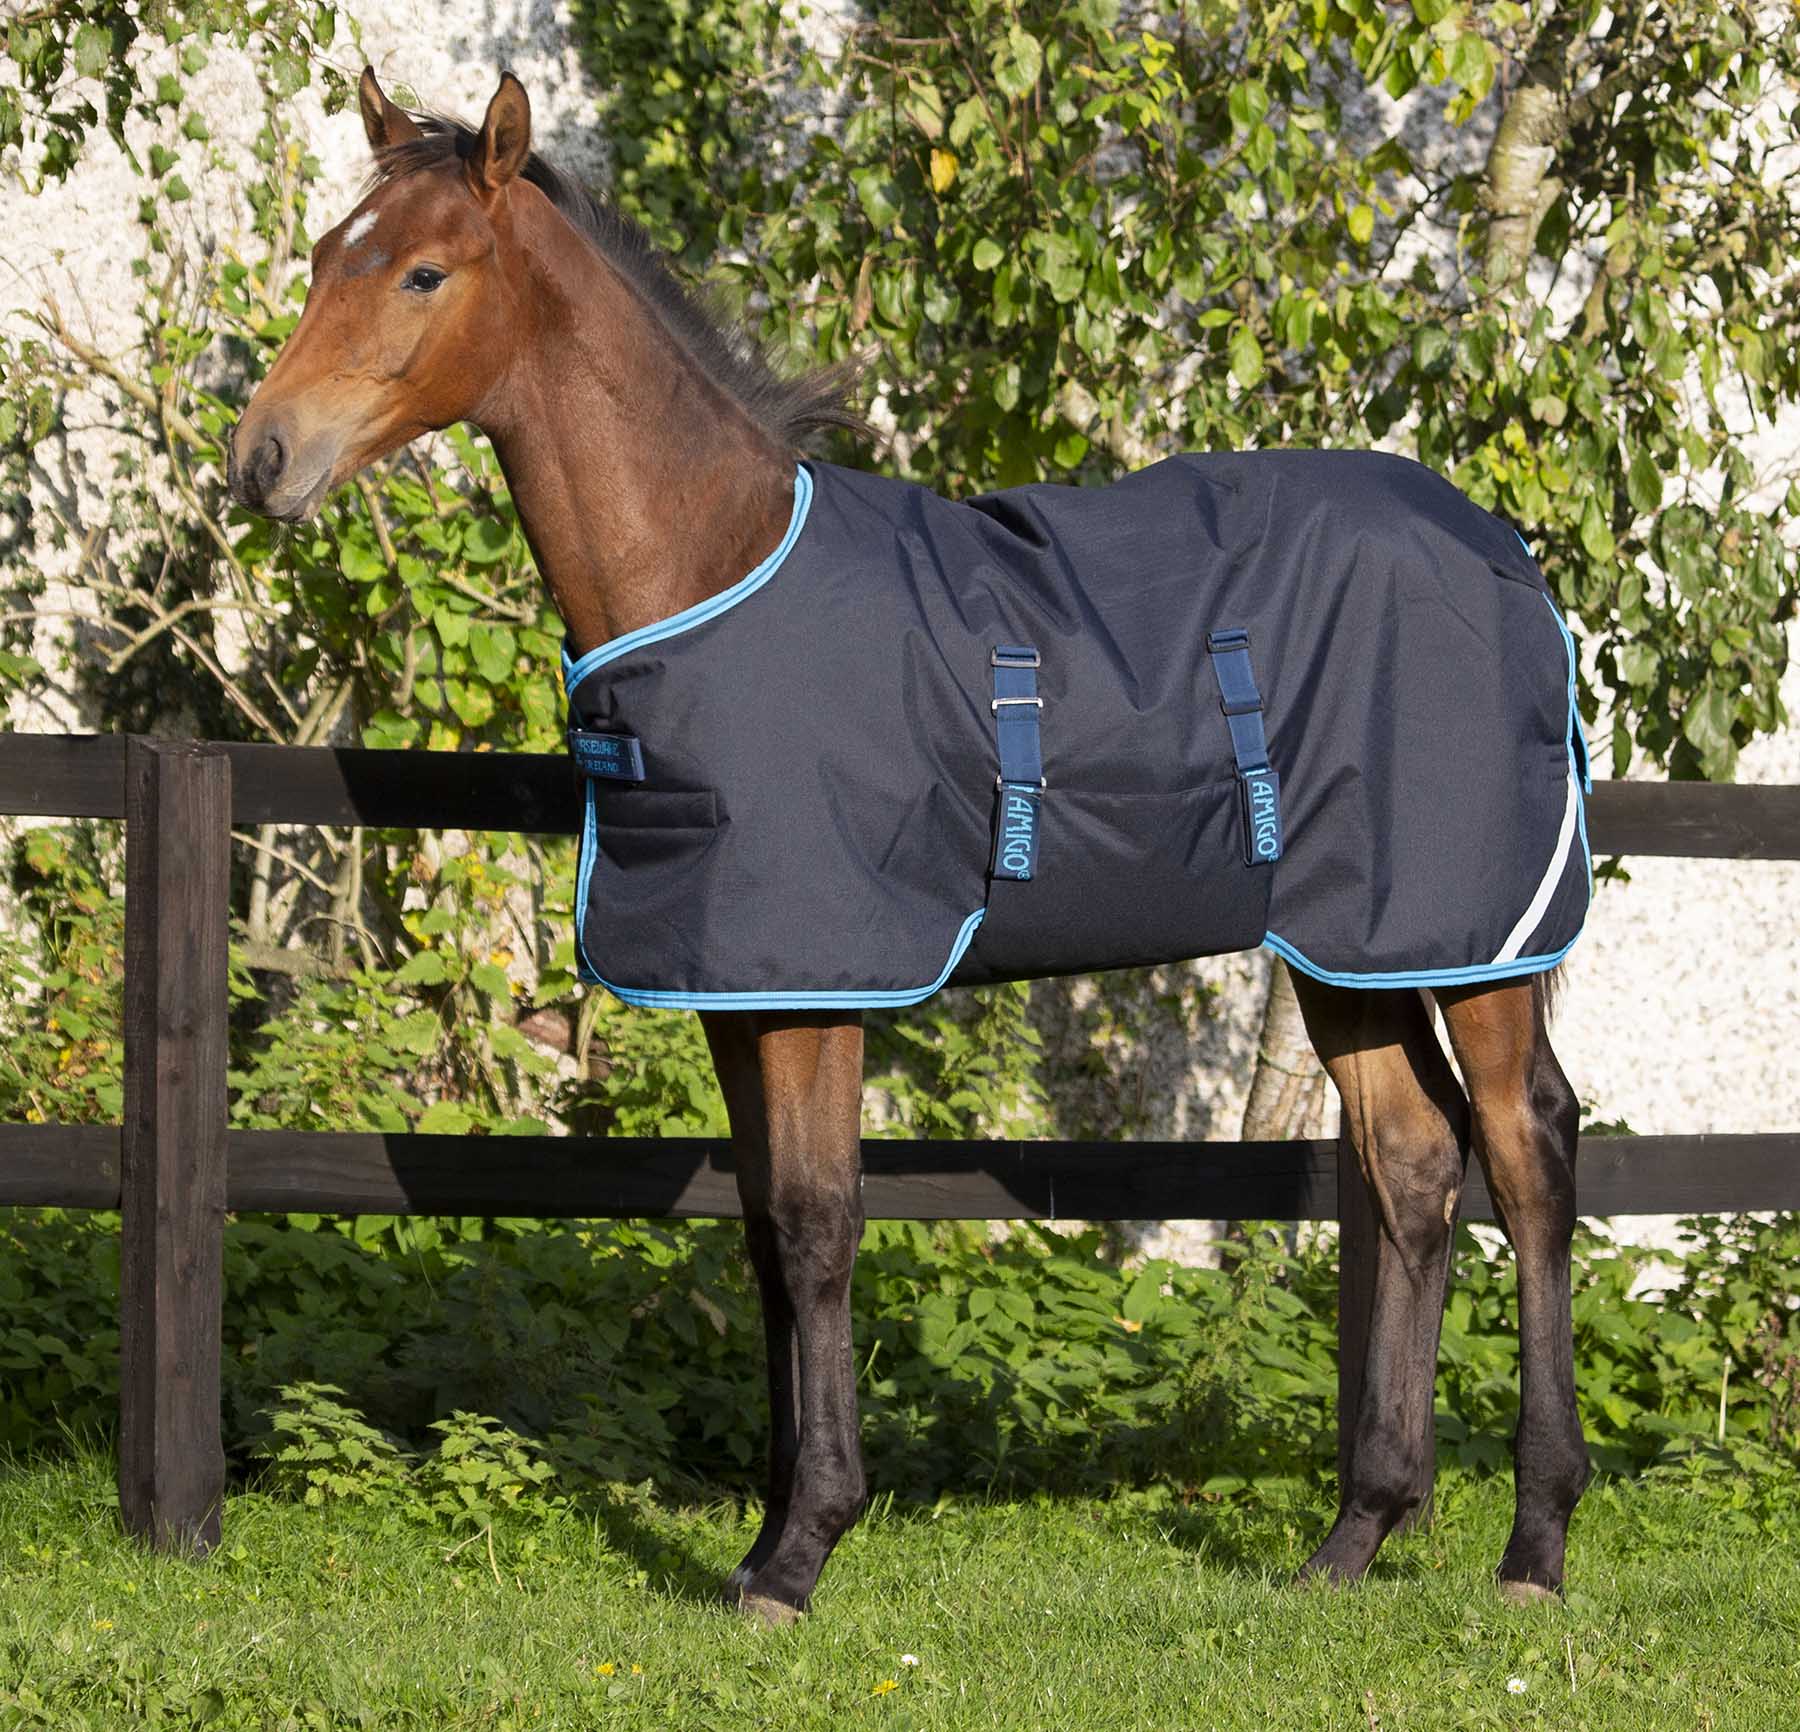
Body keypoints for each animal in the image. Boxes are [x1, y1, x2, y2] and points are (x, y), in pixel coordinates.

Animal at [227, 67, 1592, 1626]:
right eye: (325, 254)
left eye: (424, 272)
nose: (262, 458)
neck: (712, 566)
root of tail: (1505, 551)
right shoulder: (742, 991)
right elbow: (764, 1236)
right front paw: (765, 1534)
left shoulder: (824, 986)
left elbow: (821, 1225)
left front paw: (804, 1548)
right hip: (1349, 948)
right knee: (1415, 1165)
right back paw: (1355, 1536)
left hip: (1476, 938)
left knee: (1528, 1153)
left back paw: (1535, 1540)